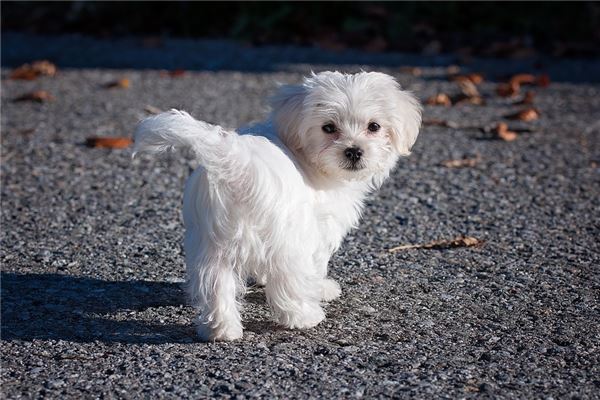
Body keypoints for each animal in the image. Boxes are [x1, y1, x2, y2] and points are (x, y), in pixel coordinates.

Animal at [132, 71, 422, 340]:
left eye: (374, 126)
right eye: (328, 128)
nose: (354, 151)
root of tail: (238, 165)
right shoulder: (319, 228)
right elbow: (316, 264)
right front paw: (321, 288)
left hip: (212, 243)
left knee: (215, 284)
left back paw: (221, 330)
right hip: (287, 239)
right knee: (288, 280)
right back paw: (304, 316)